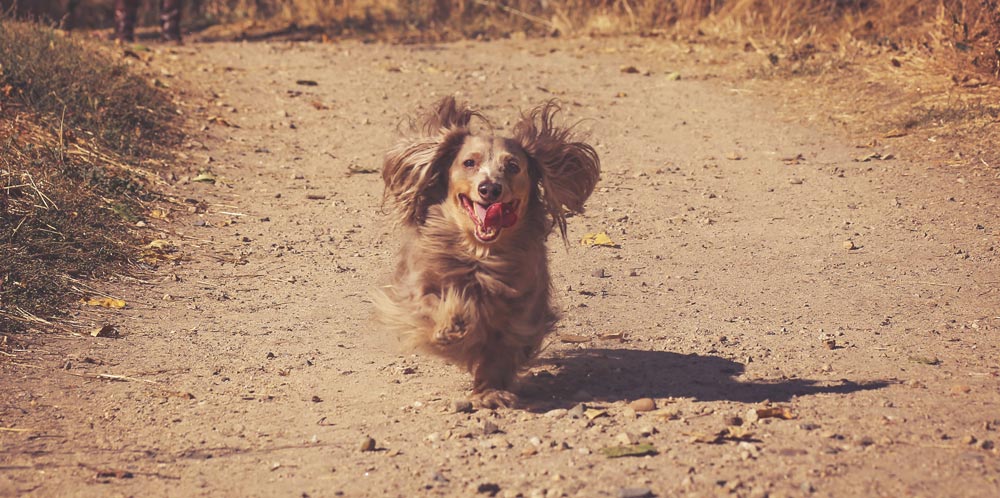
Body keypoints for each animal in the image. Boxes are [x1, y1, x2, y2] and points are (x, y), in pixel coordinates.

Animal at [374, 97, 592, 408]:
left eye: (513, 166)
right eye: (469, 162)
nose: (490, 188)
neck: (479, 256)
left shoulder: (520, 311)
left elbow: (500, 351)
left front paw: (491, 391)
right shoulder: (414, 291)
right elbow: (430, 303)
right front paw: (453, 321)